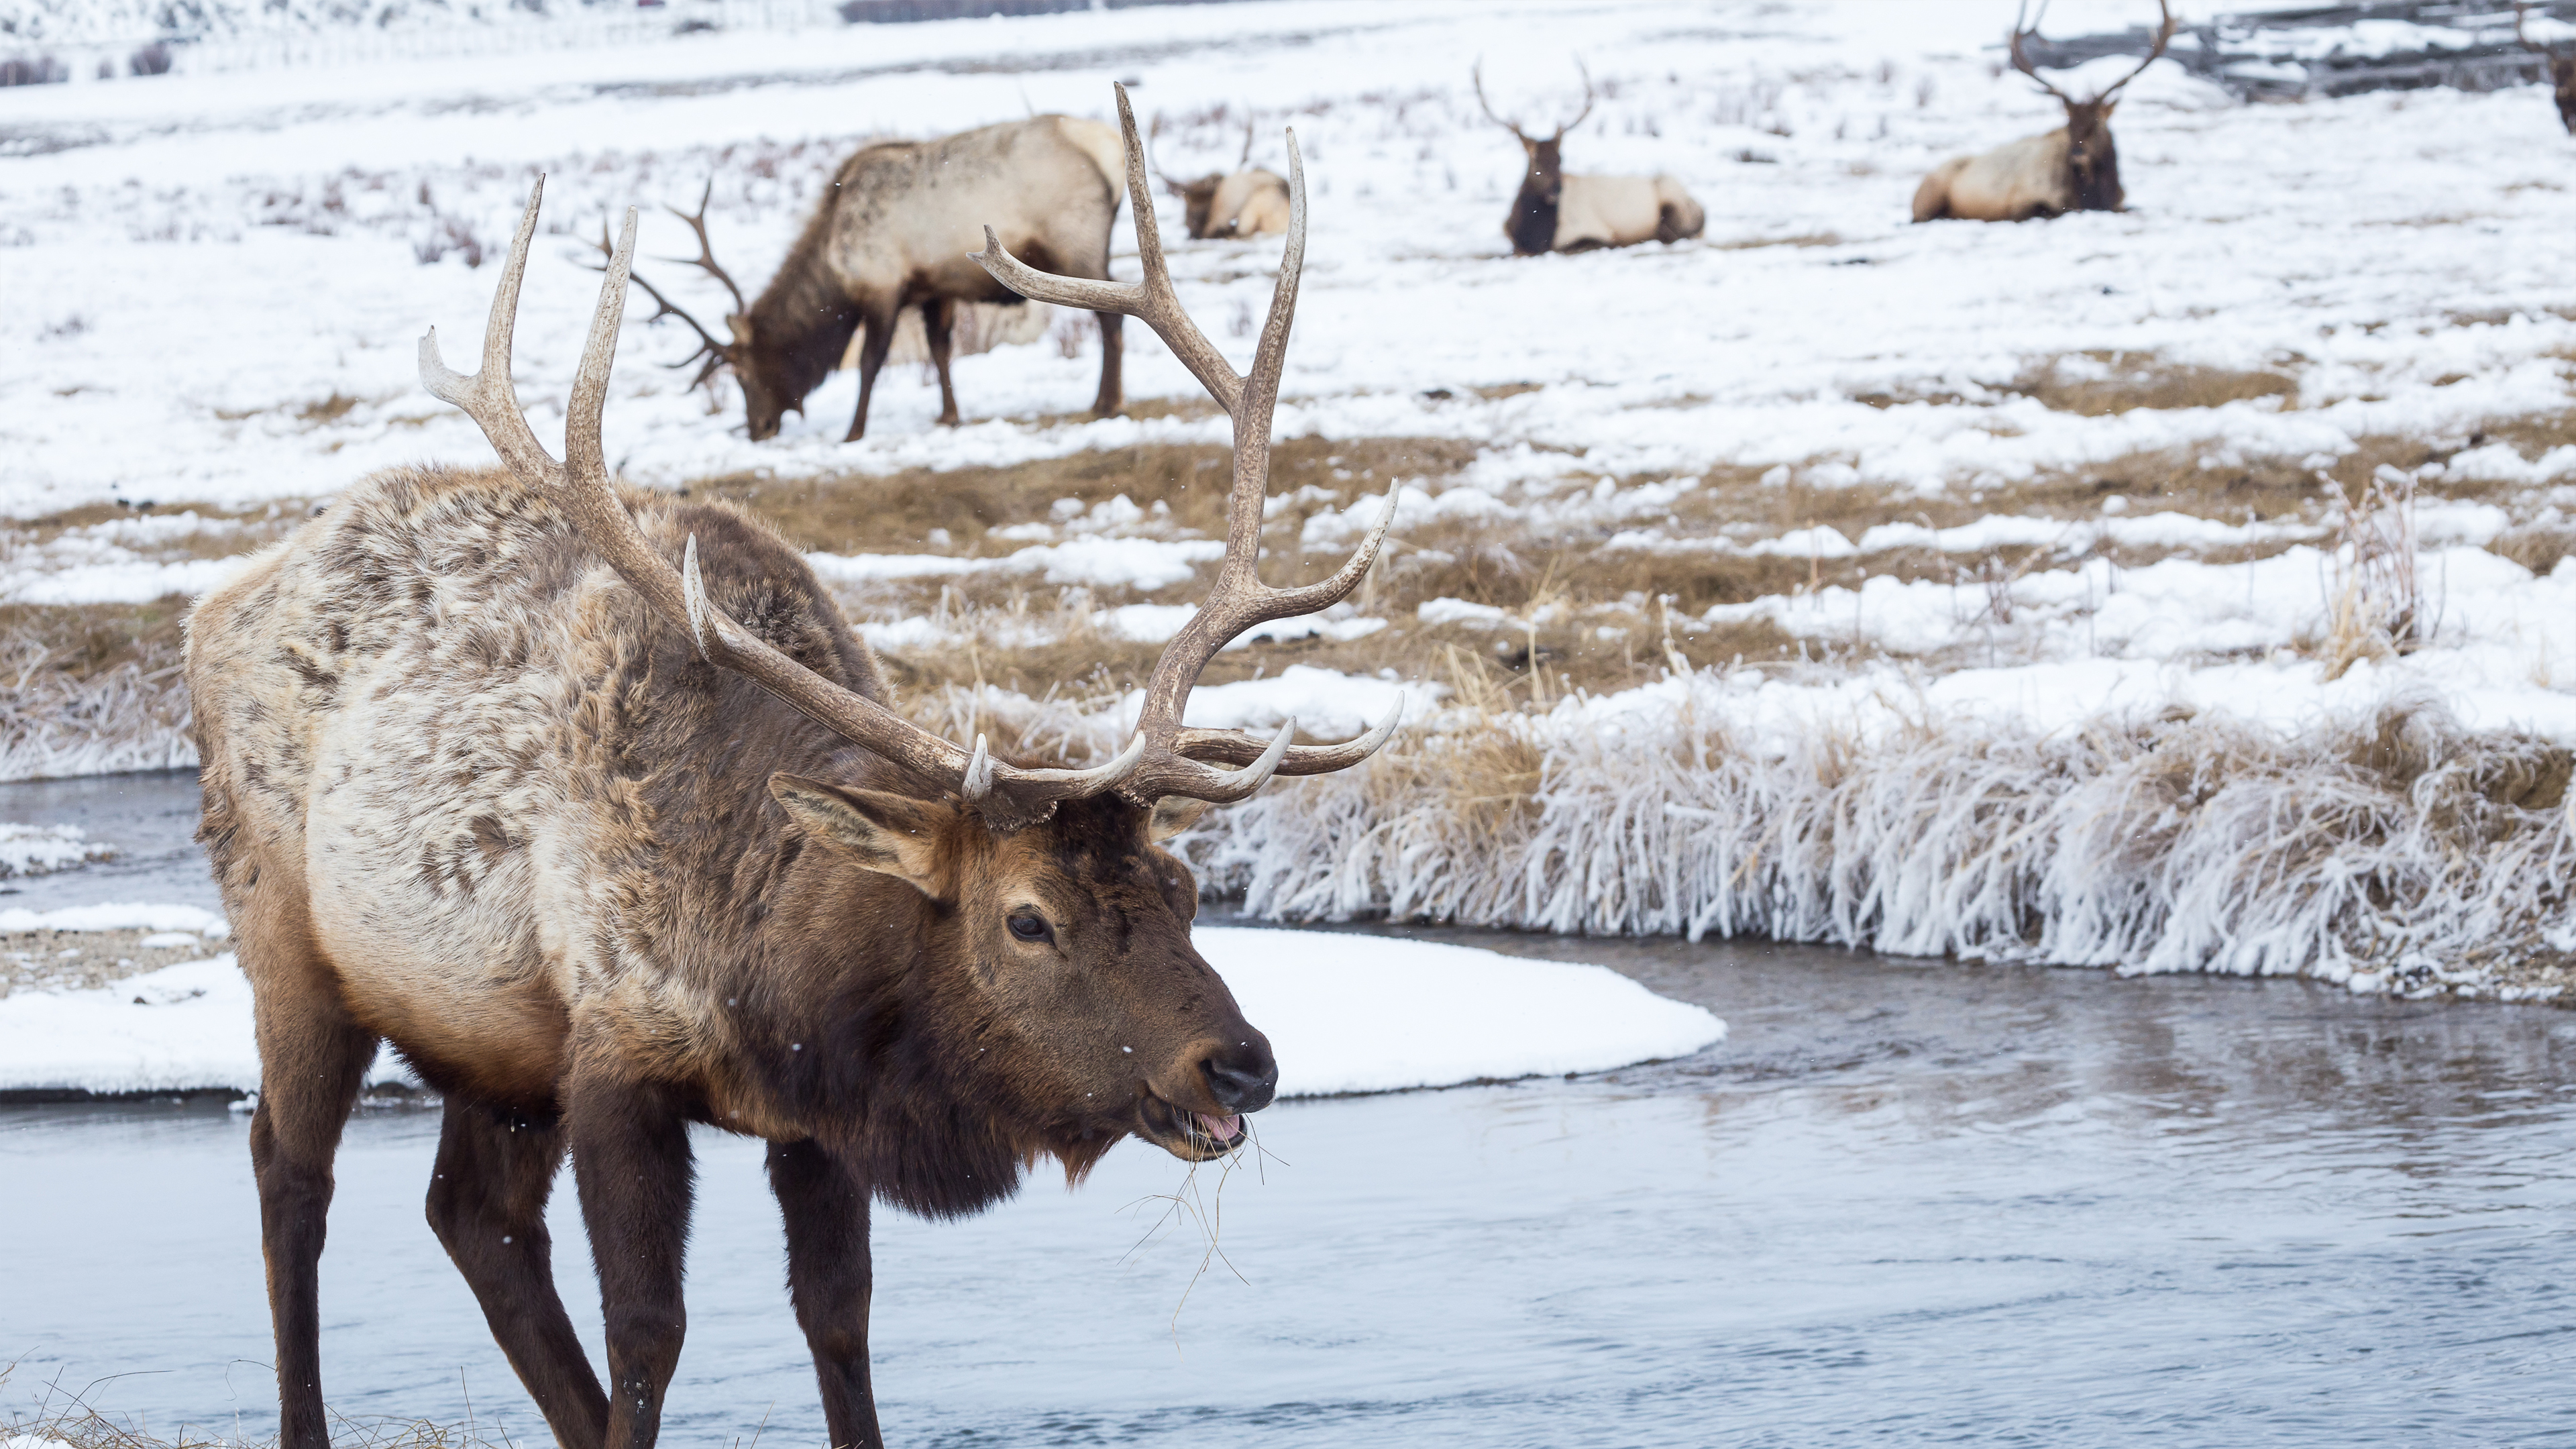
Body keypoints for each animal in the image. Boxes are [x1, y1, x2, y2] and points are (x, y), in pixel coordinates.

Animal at [627, 114, 1130, 444]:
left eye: (742, 374)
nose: (758, 429)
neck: (834, 266)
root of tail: (1109, 149)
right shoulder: (934, 288)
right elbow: (940, 350)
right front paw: (949, 416)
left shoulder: (883, 286)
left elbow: (870, 362)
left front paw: (853, 432)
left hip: (1076, 242)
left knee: (1111, 316)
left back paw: (1107, 403)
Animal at [1474, 60, 1704, 257]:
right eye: (1535, 160)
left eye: (1561, 159)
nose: (1556, 190)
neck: (1532, 232)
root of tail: (1700, 206)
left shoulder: (1589, 231)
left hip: (1670, 196)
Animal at [1912, 0, 2176, 223]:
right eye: (2069, 124)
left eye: (2097, 123)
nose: (2077, 153)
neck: (2093, 193)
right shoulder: (2021, 202)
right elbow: (2053, 210)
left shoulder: (2120, 202)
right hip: (1929, 198)